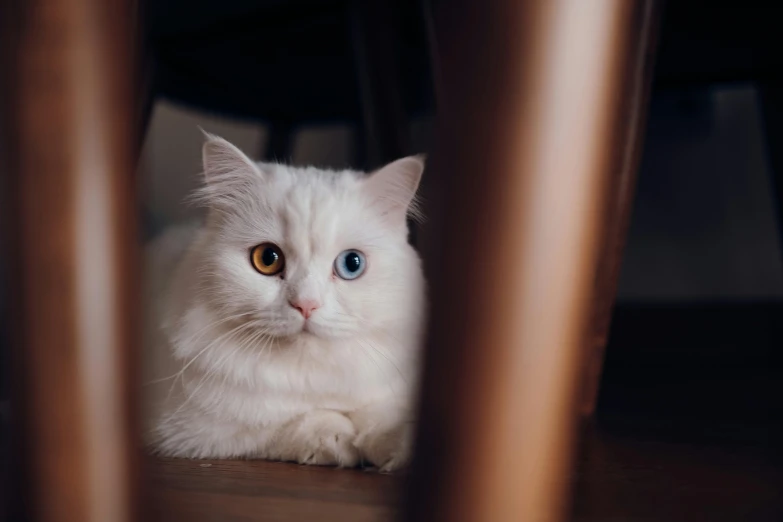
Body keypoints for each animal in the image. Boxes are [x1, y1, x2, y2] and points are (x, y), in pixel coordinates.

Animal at [144, 132, 426, 470]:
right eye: (267, 258)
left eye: (352, 264)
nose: (306, 304)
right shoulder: (196, 430)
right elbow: (287, 423)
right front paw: (337, 439)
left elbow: (384, 415)